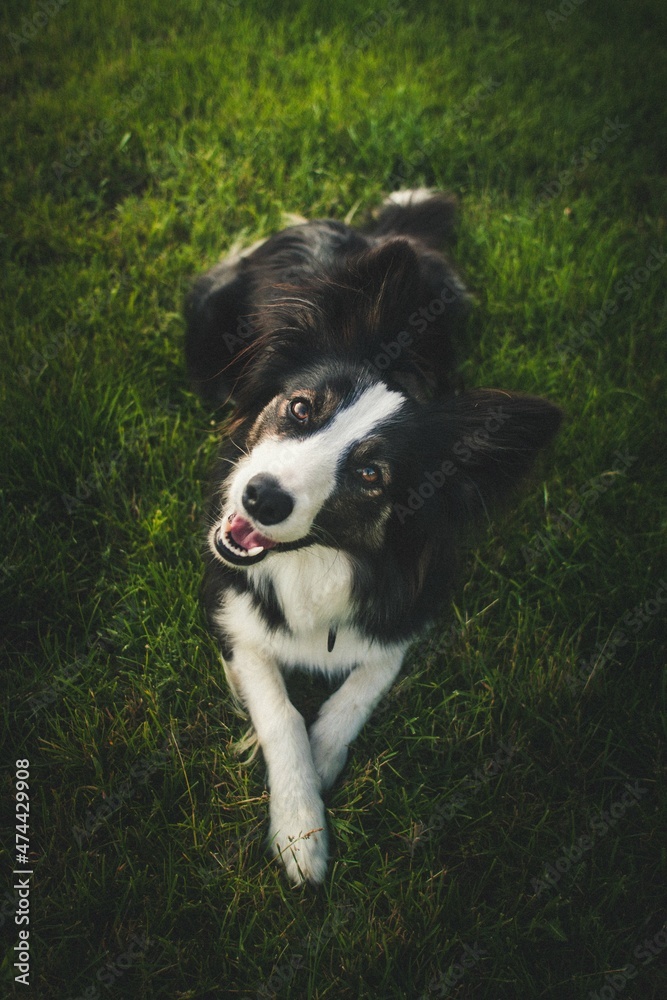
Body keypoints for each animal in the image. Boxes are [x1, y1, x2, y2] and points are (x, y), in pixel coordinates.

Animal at [184, 188, 564, 884]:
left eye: (370, 475)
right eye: (300, 407)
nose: (260, 497)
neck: (326, 557)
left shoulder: (416, 604)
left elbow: (361, 688)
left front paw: (322, 770)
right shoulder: (229, 605)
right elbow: (281, 712)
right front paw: (300, 830)